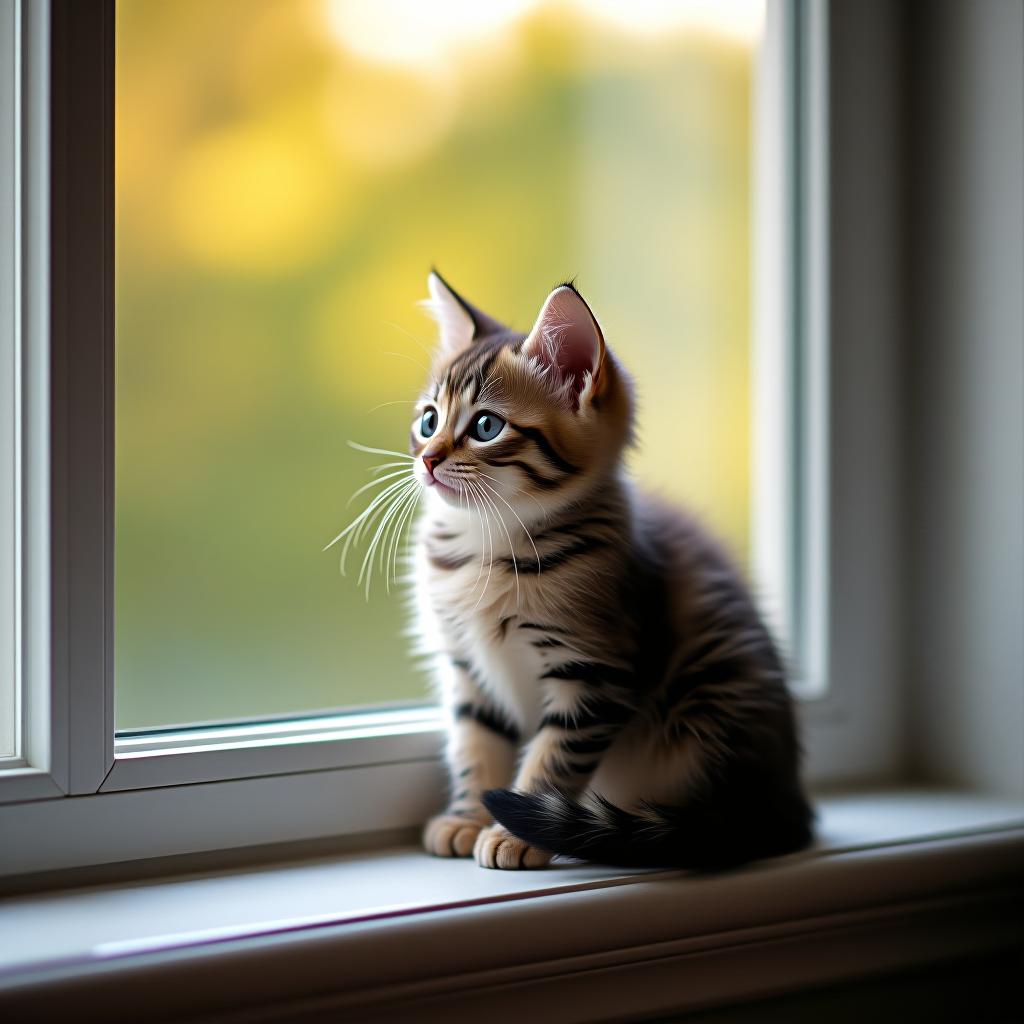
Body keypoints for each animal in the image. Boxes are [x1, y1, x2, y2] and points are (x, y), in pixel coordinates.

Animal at [403, 274, 811, 872]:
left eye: (485, 426)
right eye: (428, 420)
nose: (428, 459)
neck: (486, 545)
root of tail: (787, 801)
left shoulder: (595, 674)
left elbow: (552, 757)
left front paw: (515, 833)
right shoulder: (468, 669)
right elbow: (476, 746)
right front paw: (468, 817)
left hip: (711, 707)